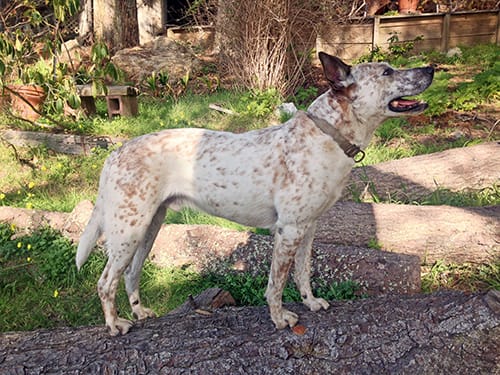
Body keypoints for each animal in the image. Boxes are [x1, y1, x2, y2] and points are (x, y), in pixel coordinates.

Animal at [75, 52, 434, 334]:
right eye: (387, 72)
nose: (431, 68)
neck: (328, 135)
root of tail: (115, 153)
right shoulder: (288, 230)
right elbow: (276, 283)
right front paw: (279, 319)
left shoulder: (309, 228)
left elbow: (303, 273)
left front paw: (310, 302)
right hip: (129, 231)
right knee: (105, 282)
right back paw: (114, 325)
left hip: (148, 229)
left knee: (129, 275)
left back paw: (139, 312)